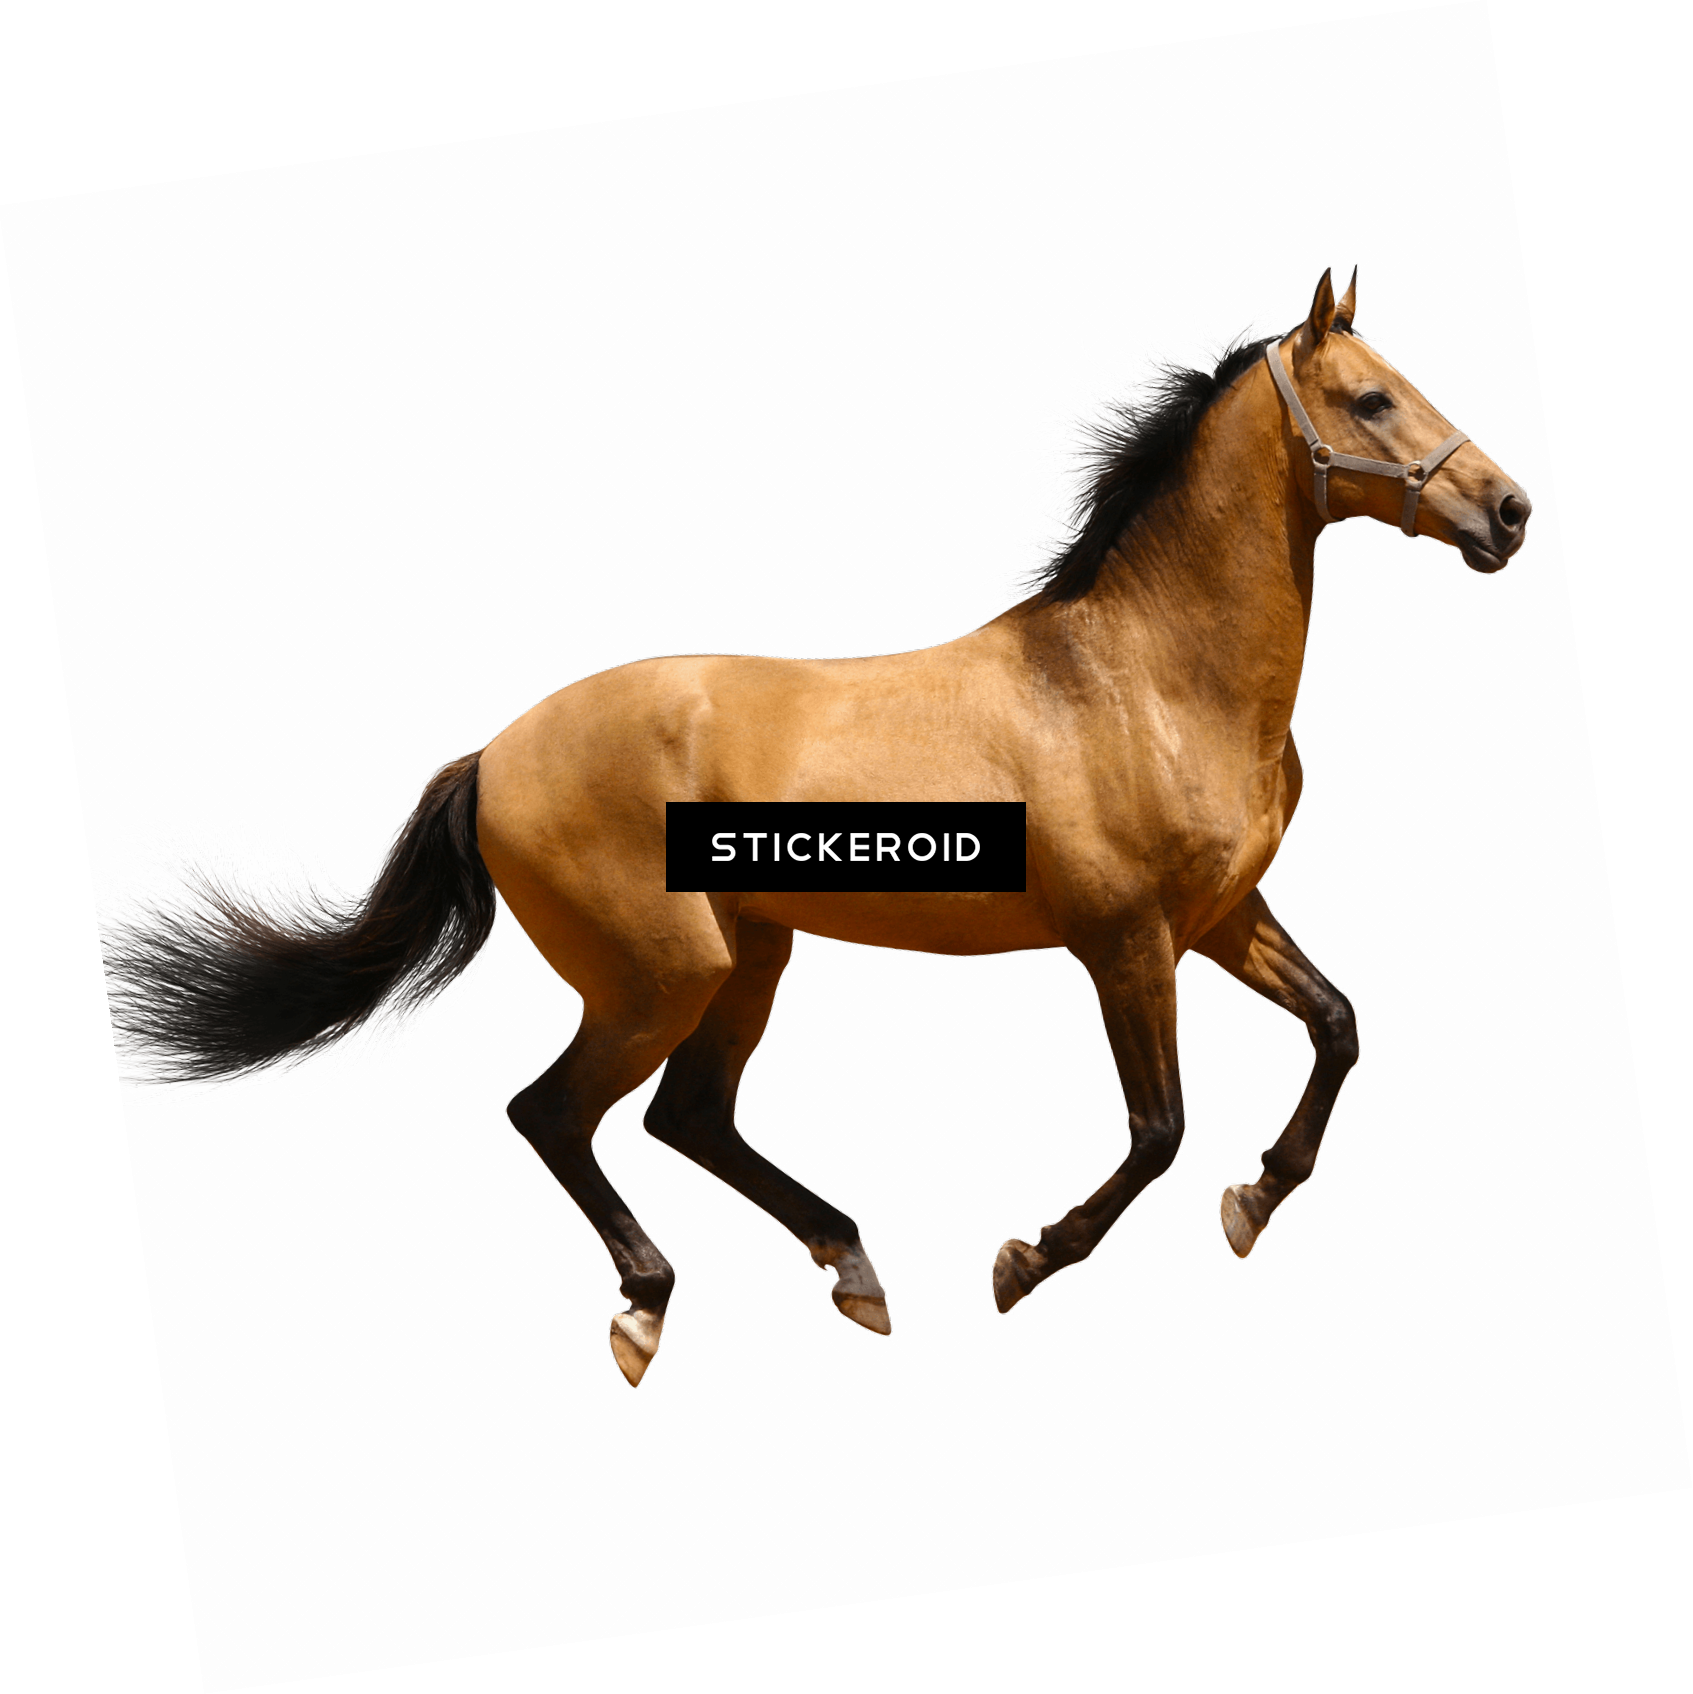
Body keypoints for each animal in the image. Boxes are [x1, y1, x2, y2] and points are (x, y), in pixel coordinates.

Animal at [93, 264, 1532, 1389]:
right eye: (1369, 400)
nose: (1509, 511)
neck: (1146, 678)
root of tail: (492, 754)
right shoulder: (1123, 939)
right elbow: (1159, 1126)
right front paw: (1022, 1263)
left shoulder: (1220, 916)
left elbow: (1338, 1024)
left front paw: (1254, 1202)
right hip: (664, 970)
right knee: (554, 1110)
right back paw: (647, 1308)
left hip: (751, 951)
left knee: (687, 1116)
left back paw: (852, 1270)